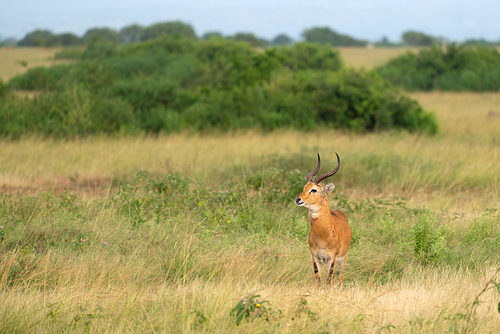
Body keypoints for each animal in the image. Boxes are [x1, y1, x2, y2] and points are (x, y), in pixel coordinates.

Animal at [294, 154, 354, 288]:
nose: (298, 199)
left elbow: (328, 282)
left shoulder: (333, 258)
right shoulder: (315, 257)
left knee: (339, 279)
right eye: (304, 188)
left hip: (342, 259)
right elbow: (318, 281)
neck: (323, 235)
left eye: (314, 190)